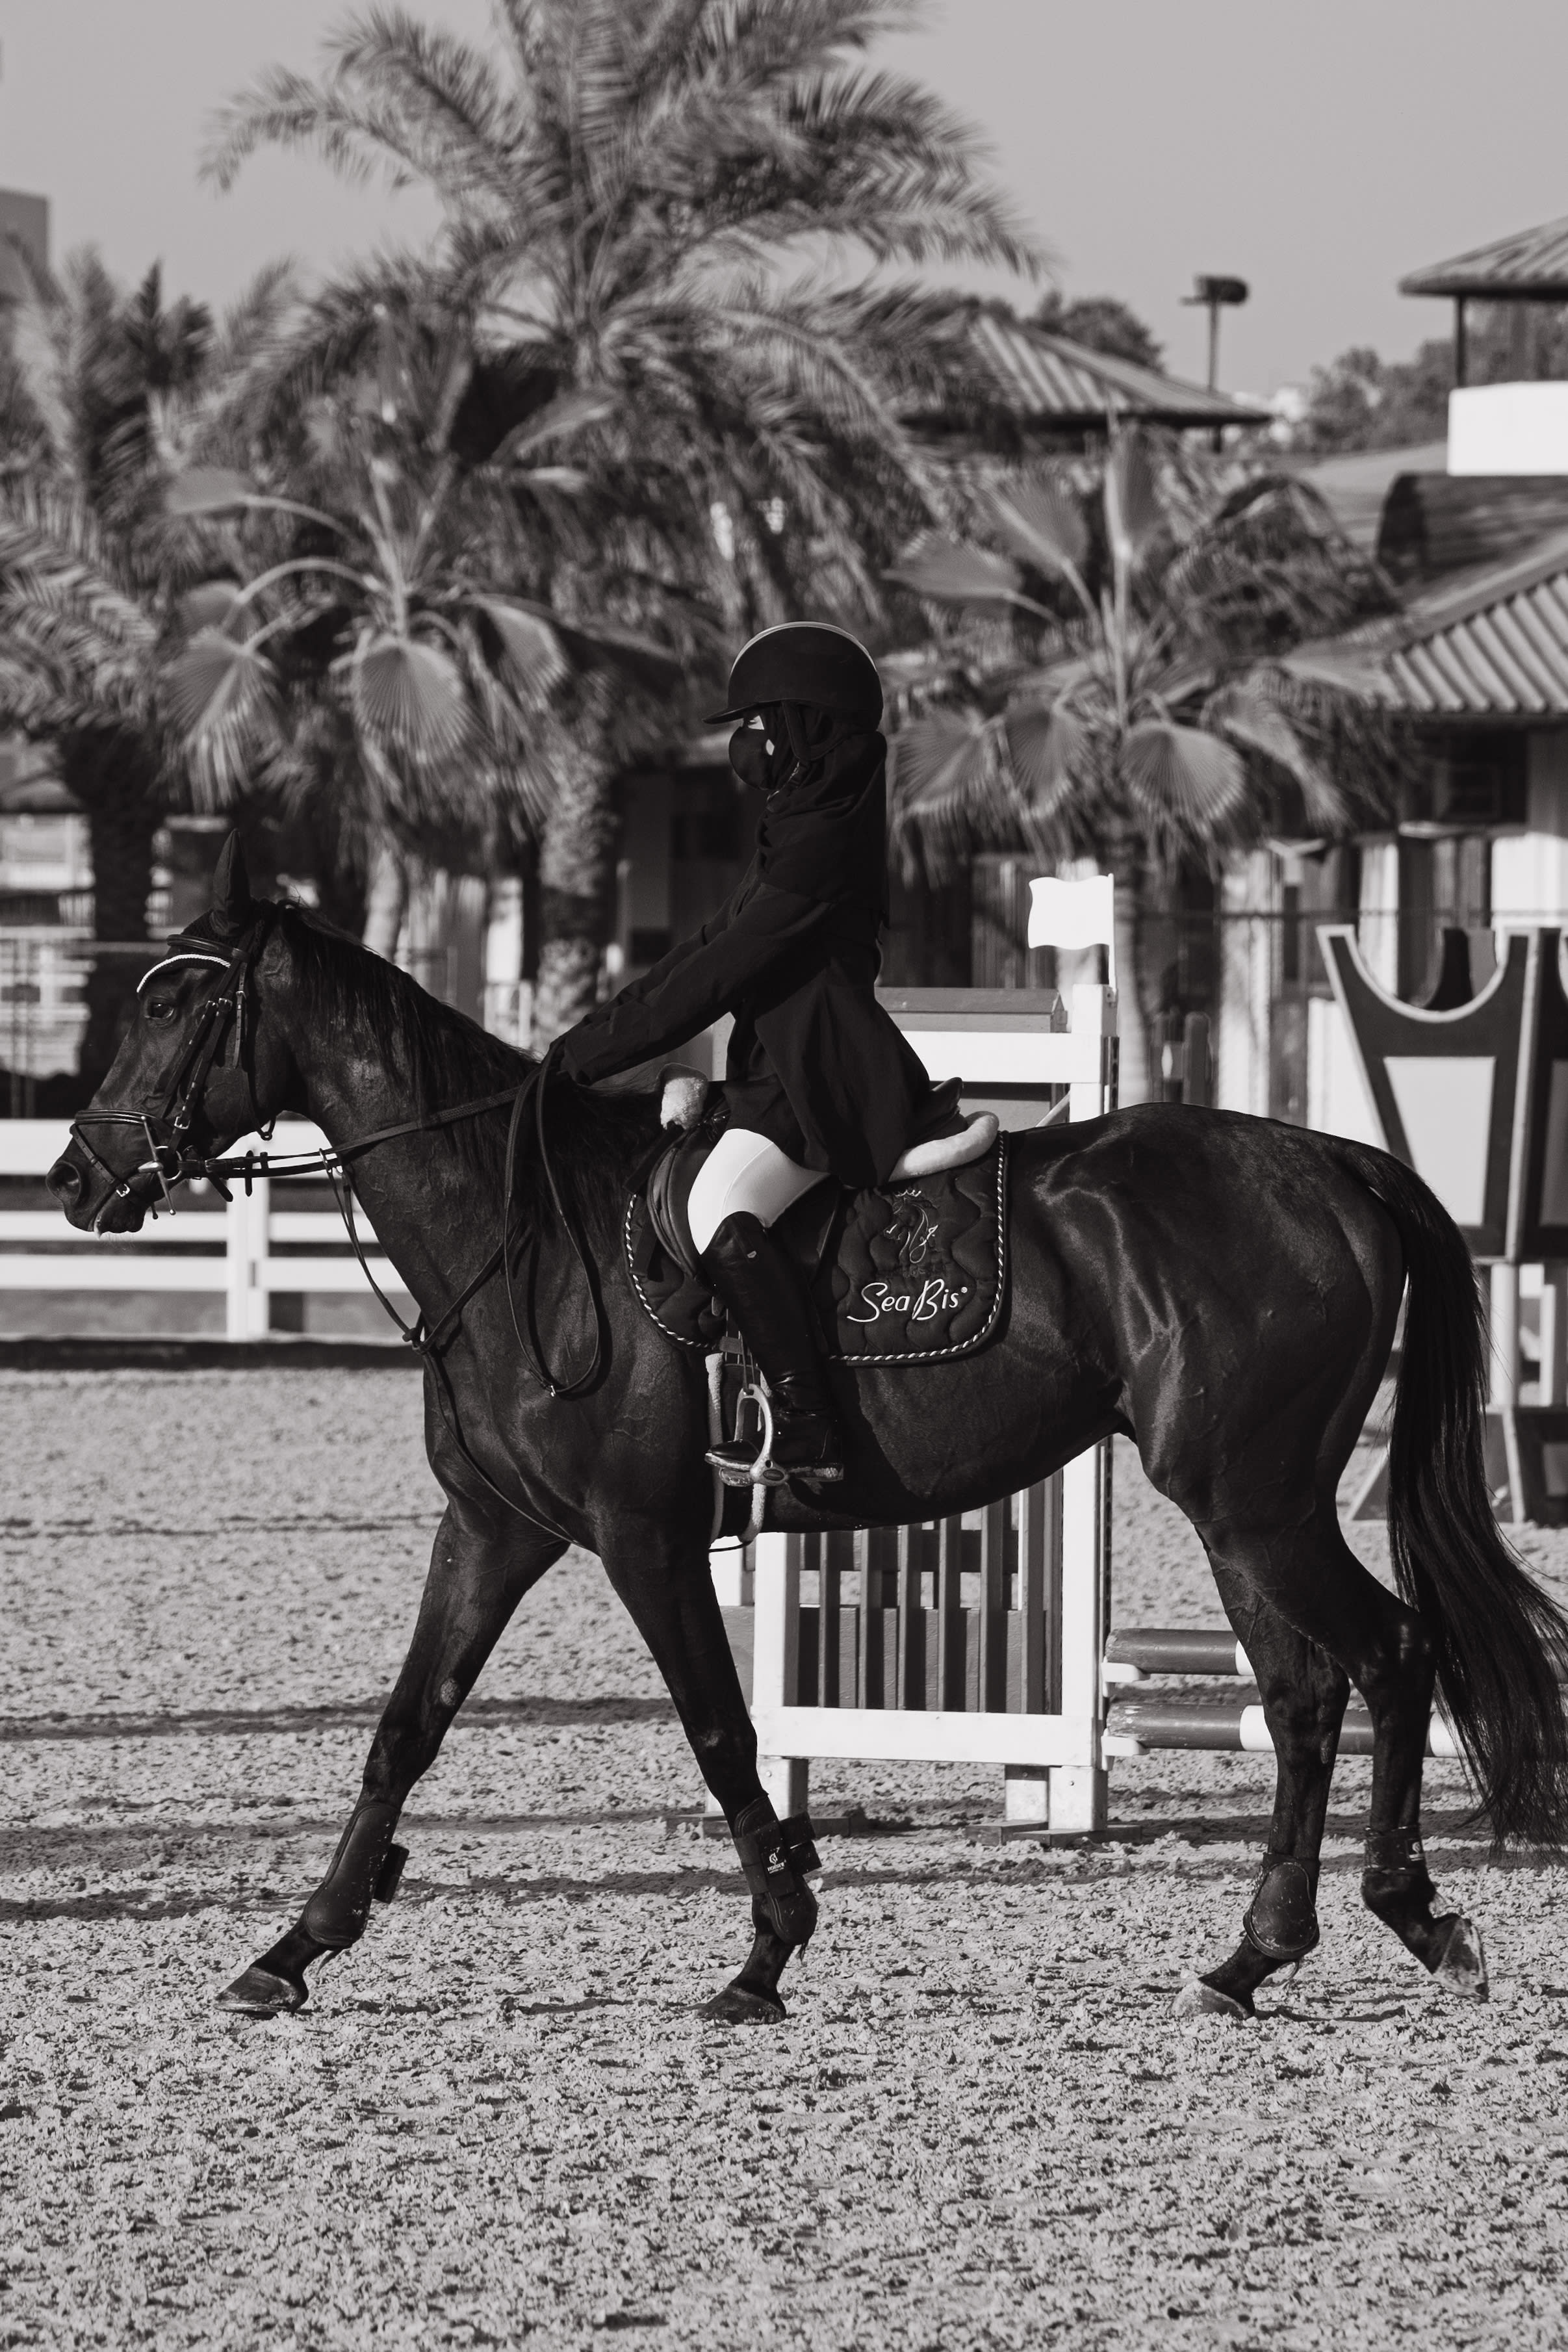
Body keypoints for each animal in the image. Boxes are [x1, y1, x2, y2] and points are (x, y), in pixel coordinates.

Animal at [46, 840, 1568, 2026]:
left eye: (183, 1003)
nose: (75, 1178)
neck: (521, 1235)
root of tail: (1335, 1161)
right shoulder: (494, 1528)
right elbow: (402, 1729)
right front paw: (292, 1949)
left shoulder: (644, 1538)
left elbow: (720, 1731)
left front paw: (767, 1953)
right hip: (1245, 1508)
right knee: (1309, 1692)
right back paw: (1255, 1957)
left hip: (1251, 1498)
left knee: (1385, 1654)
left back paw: (1403, 1918)